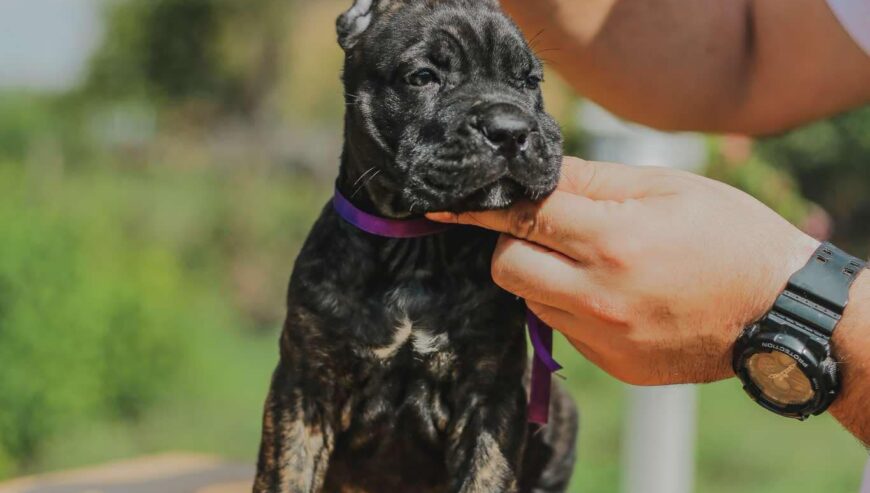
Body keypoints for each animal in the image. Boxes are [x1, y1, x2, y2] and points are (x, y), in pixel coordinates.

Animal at [252, 1, 580, 490]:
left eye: (529, 81)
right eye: (423, 77)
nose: (510, 129)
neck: (414, 246)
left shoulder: (490, 397)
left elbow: (485, 476)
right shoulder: (303, 390)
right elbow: (285, 475)